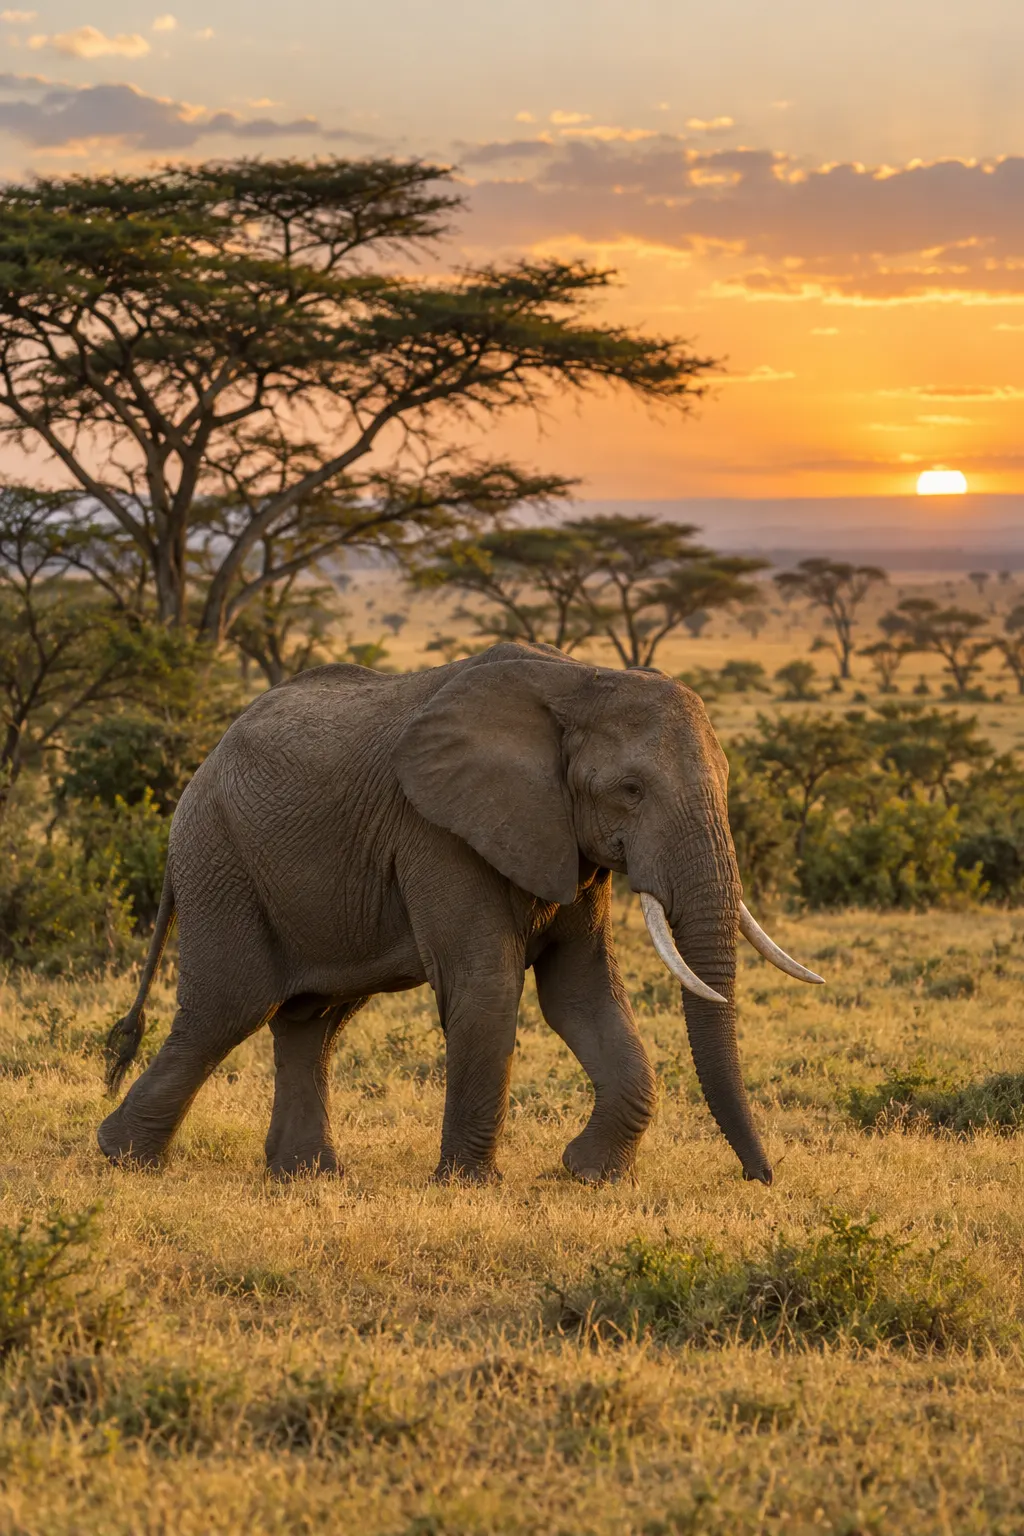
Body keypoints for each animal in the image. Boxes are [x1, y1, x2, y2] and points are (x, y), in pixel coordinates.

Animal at [97, 641, 823, 1185]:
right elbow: (488, 987)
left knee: (312, 1020)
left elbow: (582, 994)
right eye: (631, 790)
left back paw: (306, 1176)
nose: (762, 1178)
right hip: (221, 860)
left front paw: (591, 1174)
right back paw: (123, 1158)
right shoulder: (438, 831)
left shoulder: (565, 840)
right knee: (231, 1008)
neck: (580, 680)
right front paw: (469, 1185)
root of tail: (200, 770)